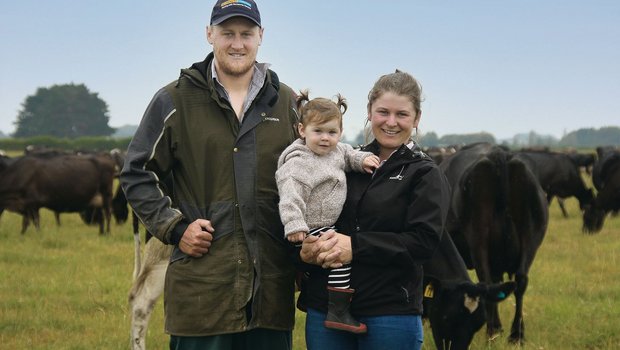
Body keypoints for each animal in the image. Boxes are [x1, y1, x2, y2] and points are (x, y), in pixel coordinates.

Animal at [438, 143, 548, 344]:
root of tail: (499, 155)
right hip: (531, 235)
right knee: (520, 280)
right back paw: (516, 334)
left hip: (478, 238)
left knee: (487, 281)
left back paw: (492, 331)